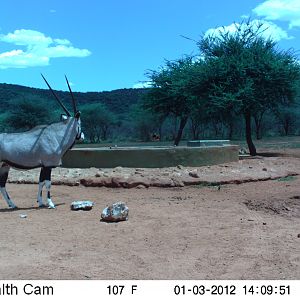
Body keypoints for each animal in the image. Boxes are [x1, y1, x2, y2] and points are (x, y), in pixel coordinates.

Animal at [0, 74, 84, 209]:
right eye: (80, 123)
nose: (82, 136)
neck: (57, 135)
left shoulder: (43, 166)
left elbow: (41, 183)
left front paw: (40, 202)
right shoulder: (48, 165)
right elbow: (48, 183)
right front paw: (50, 203)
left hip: (4, 166)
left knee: (2, 185)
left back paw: (12, 204)